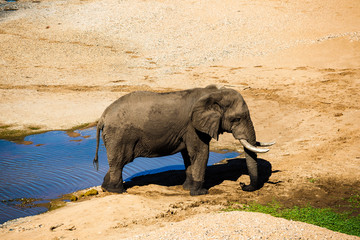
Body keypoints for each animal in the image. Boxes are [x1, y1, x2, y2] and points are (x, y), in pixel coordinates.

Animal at [93, 85, 272, 196]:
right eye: (237, 119)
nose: (243, 185)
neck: (212, 93)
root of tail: (102, 117)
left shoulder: (189, 129)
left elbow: (188, 156)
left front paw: (187, 188)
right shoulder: (193, 126)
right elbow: (200, 153)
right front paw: (200, 193)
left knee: (118, 162)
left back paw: (106, 188)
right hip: (119, 136)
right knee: (120, 161)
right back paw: (118, 191)